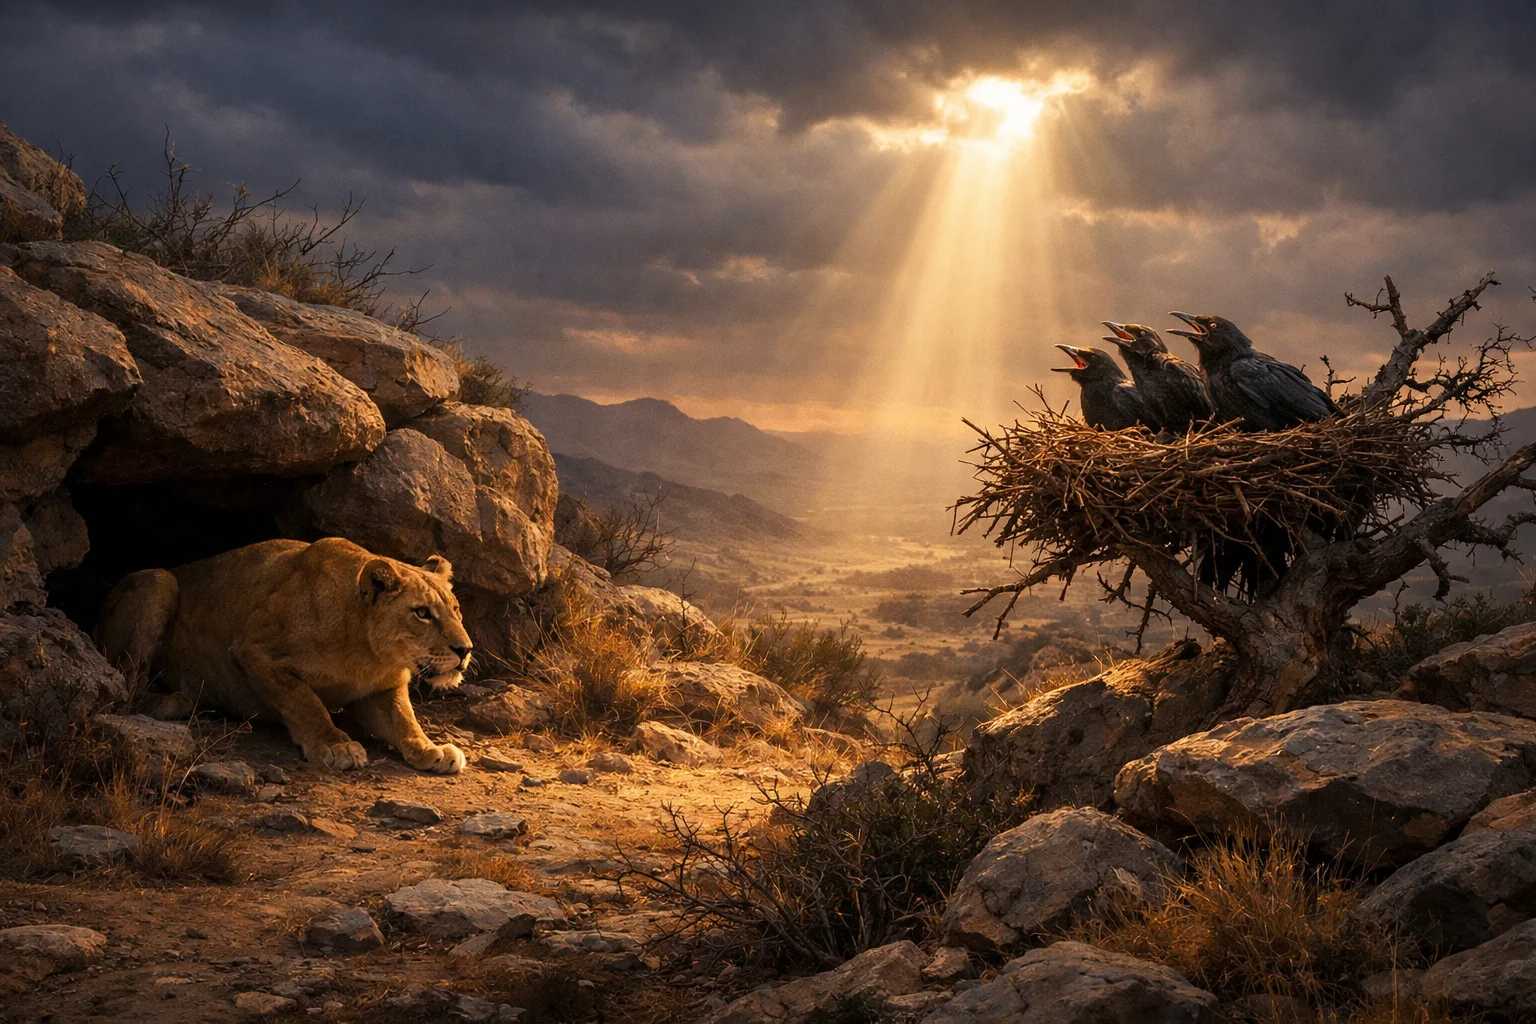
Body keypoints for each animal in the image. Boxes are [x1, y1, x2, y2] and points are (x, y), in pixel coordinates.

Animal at [96, 537, 471, 773]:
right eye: (422, 613)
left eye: (455, 609)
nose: (465, 650)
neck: (368, 655)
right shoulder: (254, 650)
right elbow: (305, 702)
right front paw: (335, 745)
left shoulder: (381, 688)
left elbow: (403, 719)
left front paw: (431, 749)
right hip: (159, 582)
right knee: (126, 687)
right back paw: (172, 701)